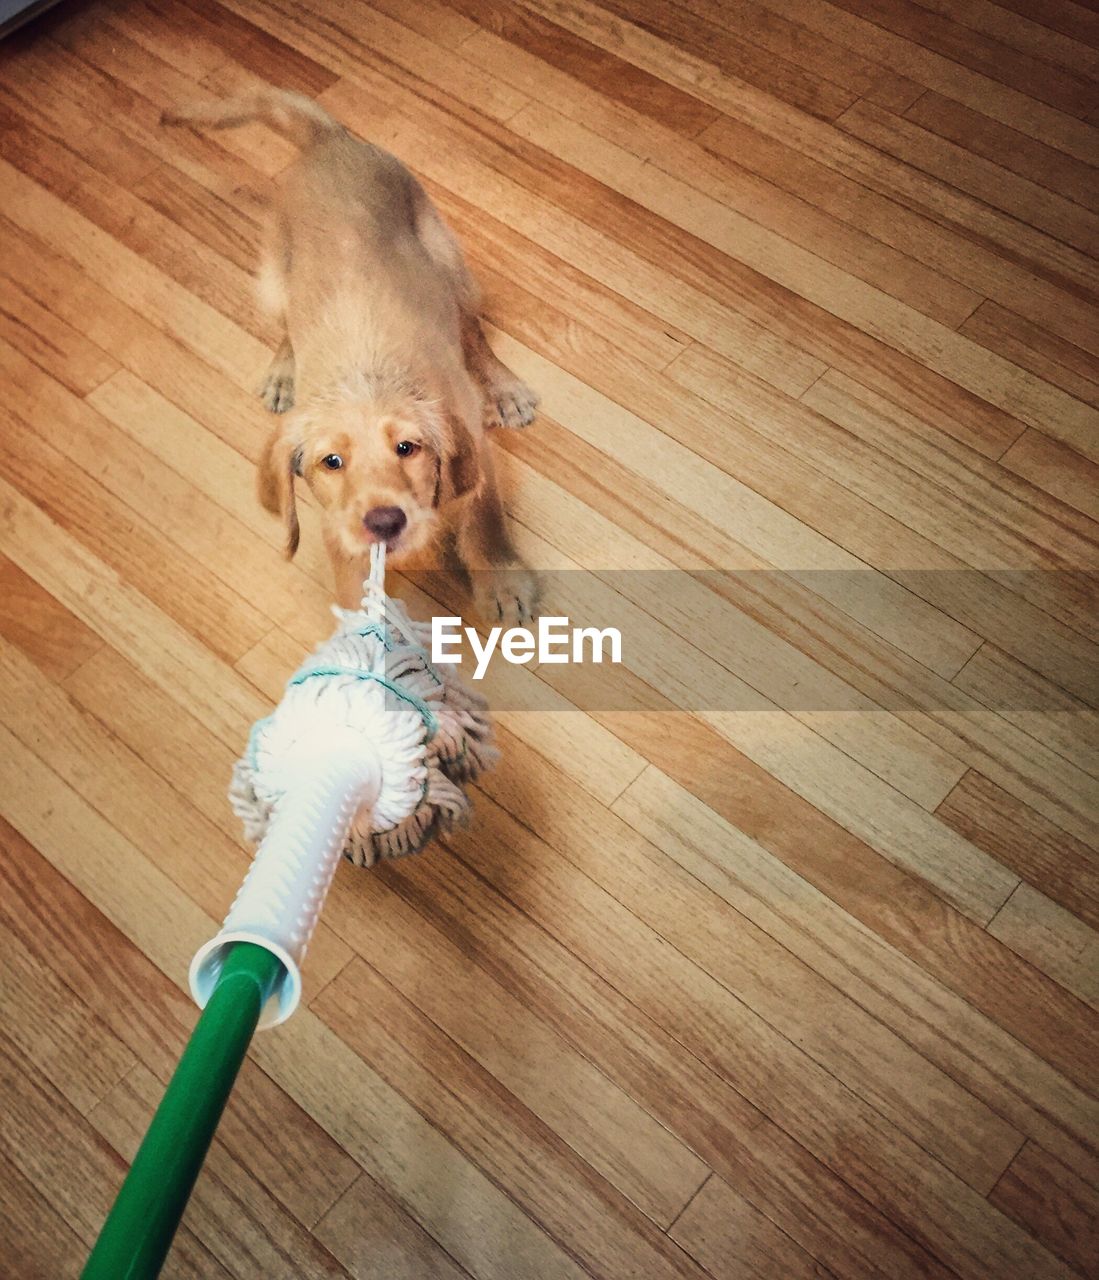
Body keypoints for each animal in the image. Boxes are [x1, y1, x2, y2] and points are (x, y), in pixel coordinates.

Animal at [163, 88, 542, 619]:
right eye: (331, 462)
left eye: (407, 448)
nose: (383, 523)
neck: (367, 378)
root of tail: (330, 142)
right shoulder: (339, 525)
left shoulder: (474, 445)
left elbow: (483, 516)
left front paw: (502, 584)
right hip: (274, 279)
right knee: (287, 326)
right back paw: (283, 373)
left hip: (447, 261)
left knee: (472, 329)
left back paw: (504, 389)